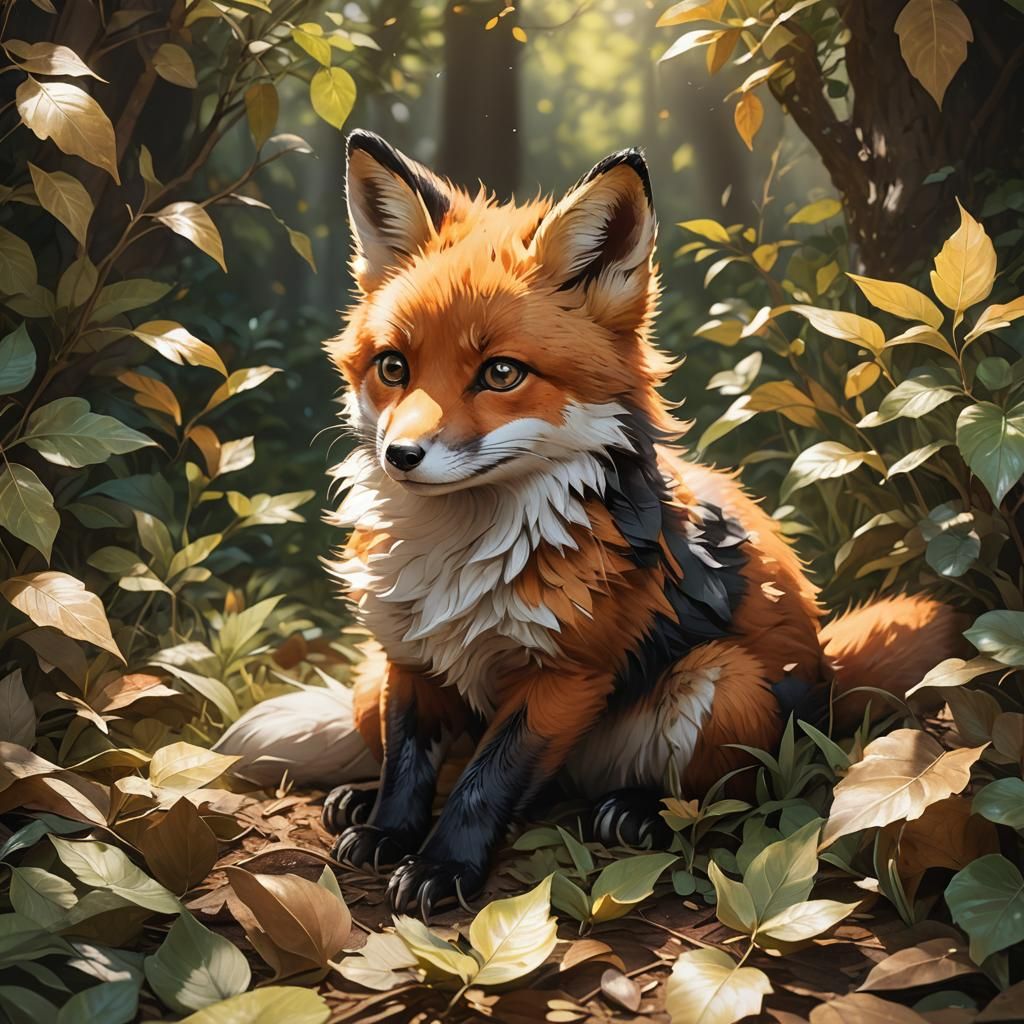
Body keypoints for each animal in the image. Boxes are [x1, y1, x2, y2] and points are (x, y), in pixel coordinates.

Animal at [218, 130, 965, 917]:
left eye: (501, 373)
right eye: (393, 367)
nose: (401, 456)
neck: (462, 561)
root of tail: (825, 670)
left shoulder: (565, 677)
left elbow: (486, 784)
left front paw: (443, 867)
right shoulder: (408, 658)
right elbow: (409, 764)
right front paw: (391, 828)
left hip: (723, 683)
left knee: (728, 794)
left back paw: (640, 812)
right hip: (368, 681)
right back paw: (359, 802)